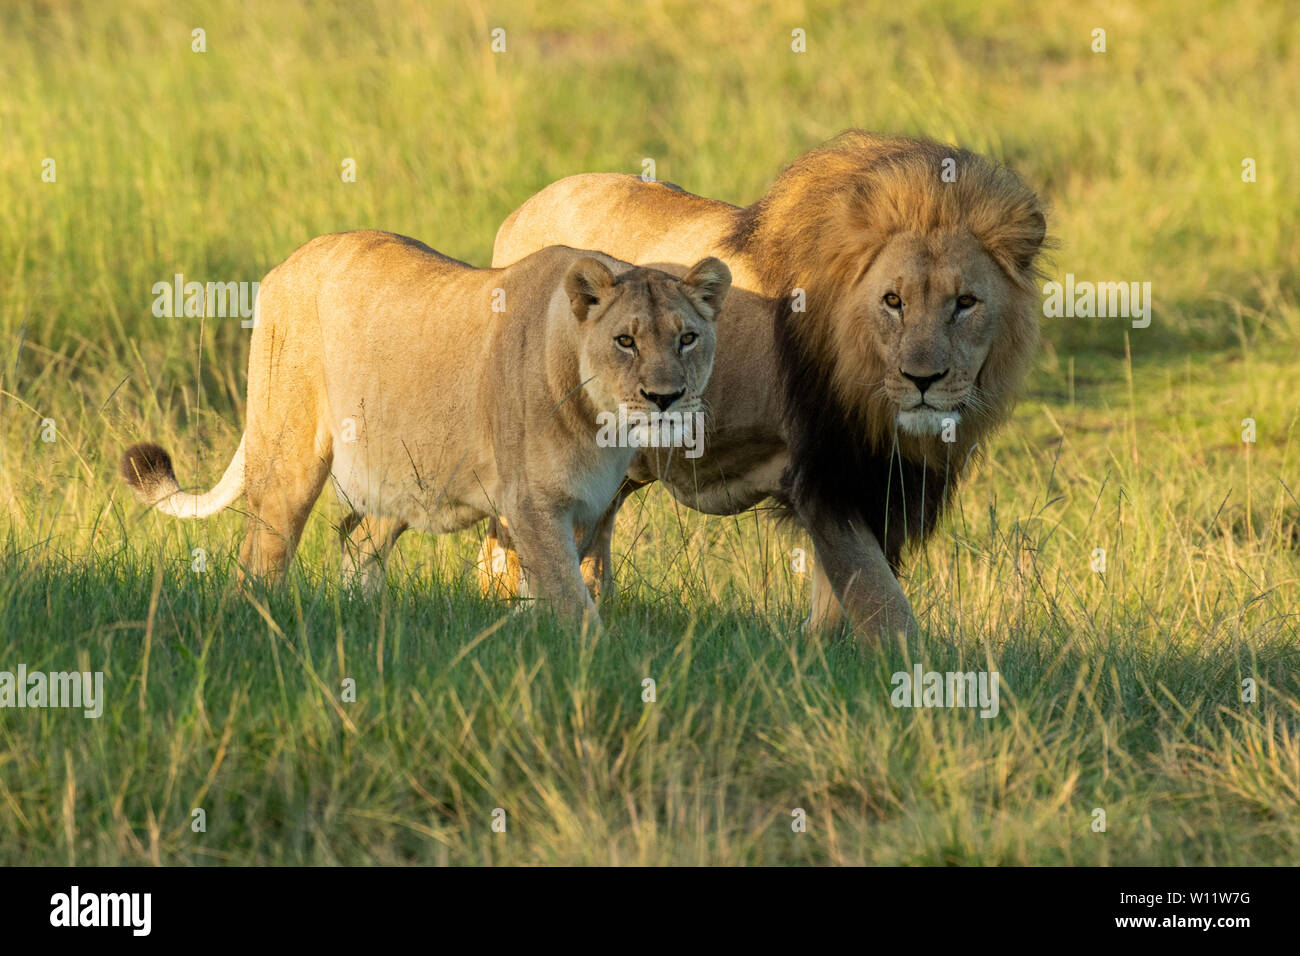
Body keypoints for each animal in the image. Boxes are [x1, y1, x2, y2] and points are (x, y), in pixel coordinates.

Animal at [121, 230, 730, 626]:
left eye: (687, 338)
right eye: (625, 341)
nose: (665, 398)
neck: (600, 423)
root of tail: (285, 264)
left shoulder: (584, 507)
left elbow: (555, 589)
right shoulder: (531, 502)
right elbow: (569, 600)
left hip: (400, 471)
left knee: (356, 538)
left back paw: (366, 619)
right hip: (288, 458)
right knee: (258, 560)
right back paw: (261, 624)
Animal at [481, 131, 1047, 640]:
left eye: (965, 303)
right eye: (893, 301)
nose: (922, 379)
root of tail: (517, 213)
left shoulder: (886, 485)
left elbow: (842, 602)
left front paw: (817, 650)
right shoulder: (819, 477)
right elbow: (881, 603)